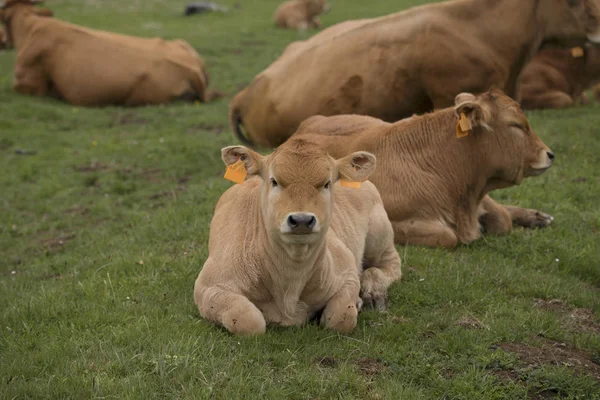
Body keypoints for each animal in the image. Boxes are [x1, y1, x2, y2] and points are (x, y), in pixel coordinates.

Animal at [195, 138, 400, 334]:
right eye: (274, 181)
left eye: (327, 183)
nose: (301, 220)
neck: (290, 281)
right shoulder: (209, 287)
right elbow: (249, 320)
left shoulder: (347, 271)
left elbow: (341, 318)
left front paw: (355, 303)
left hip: (380, 234)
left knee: (390, 265)